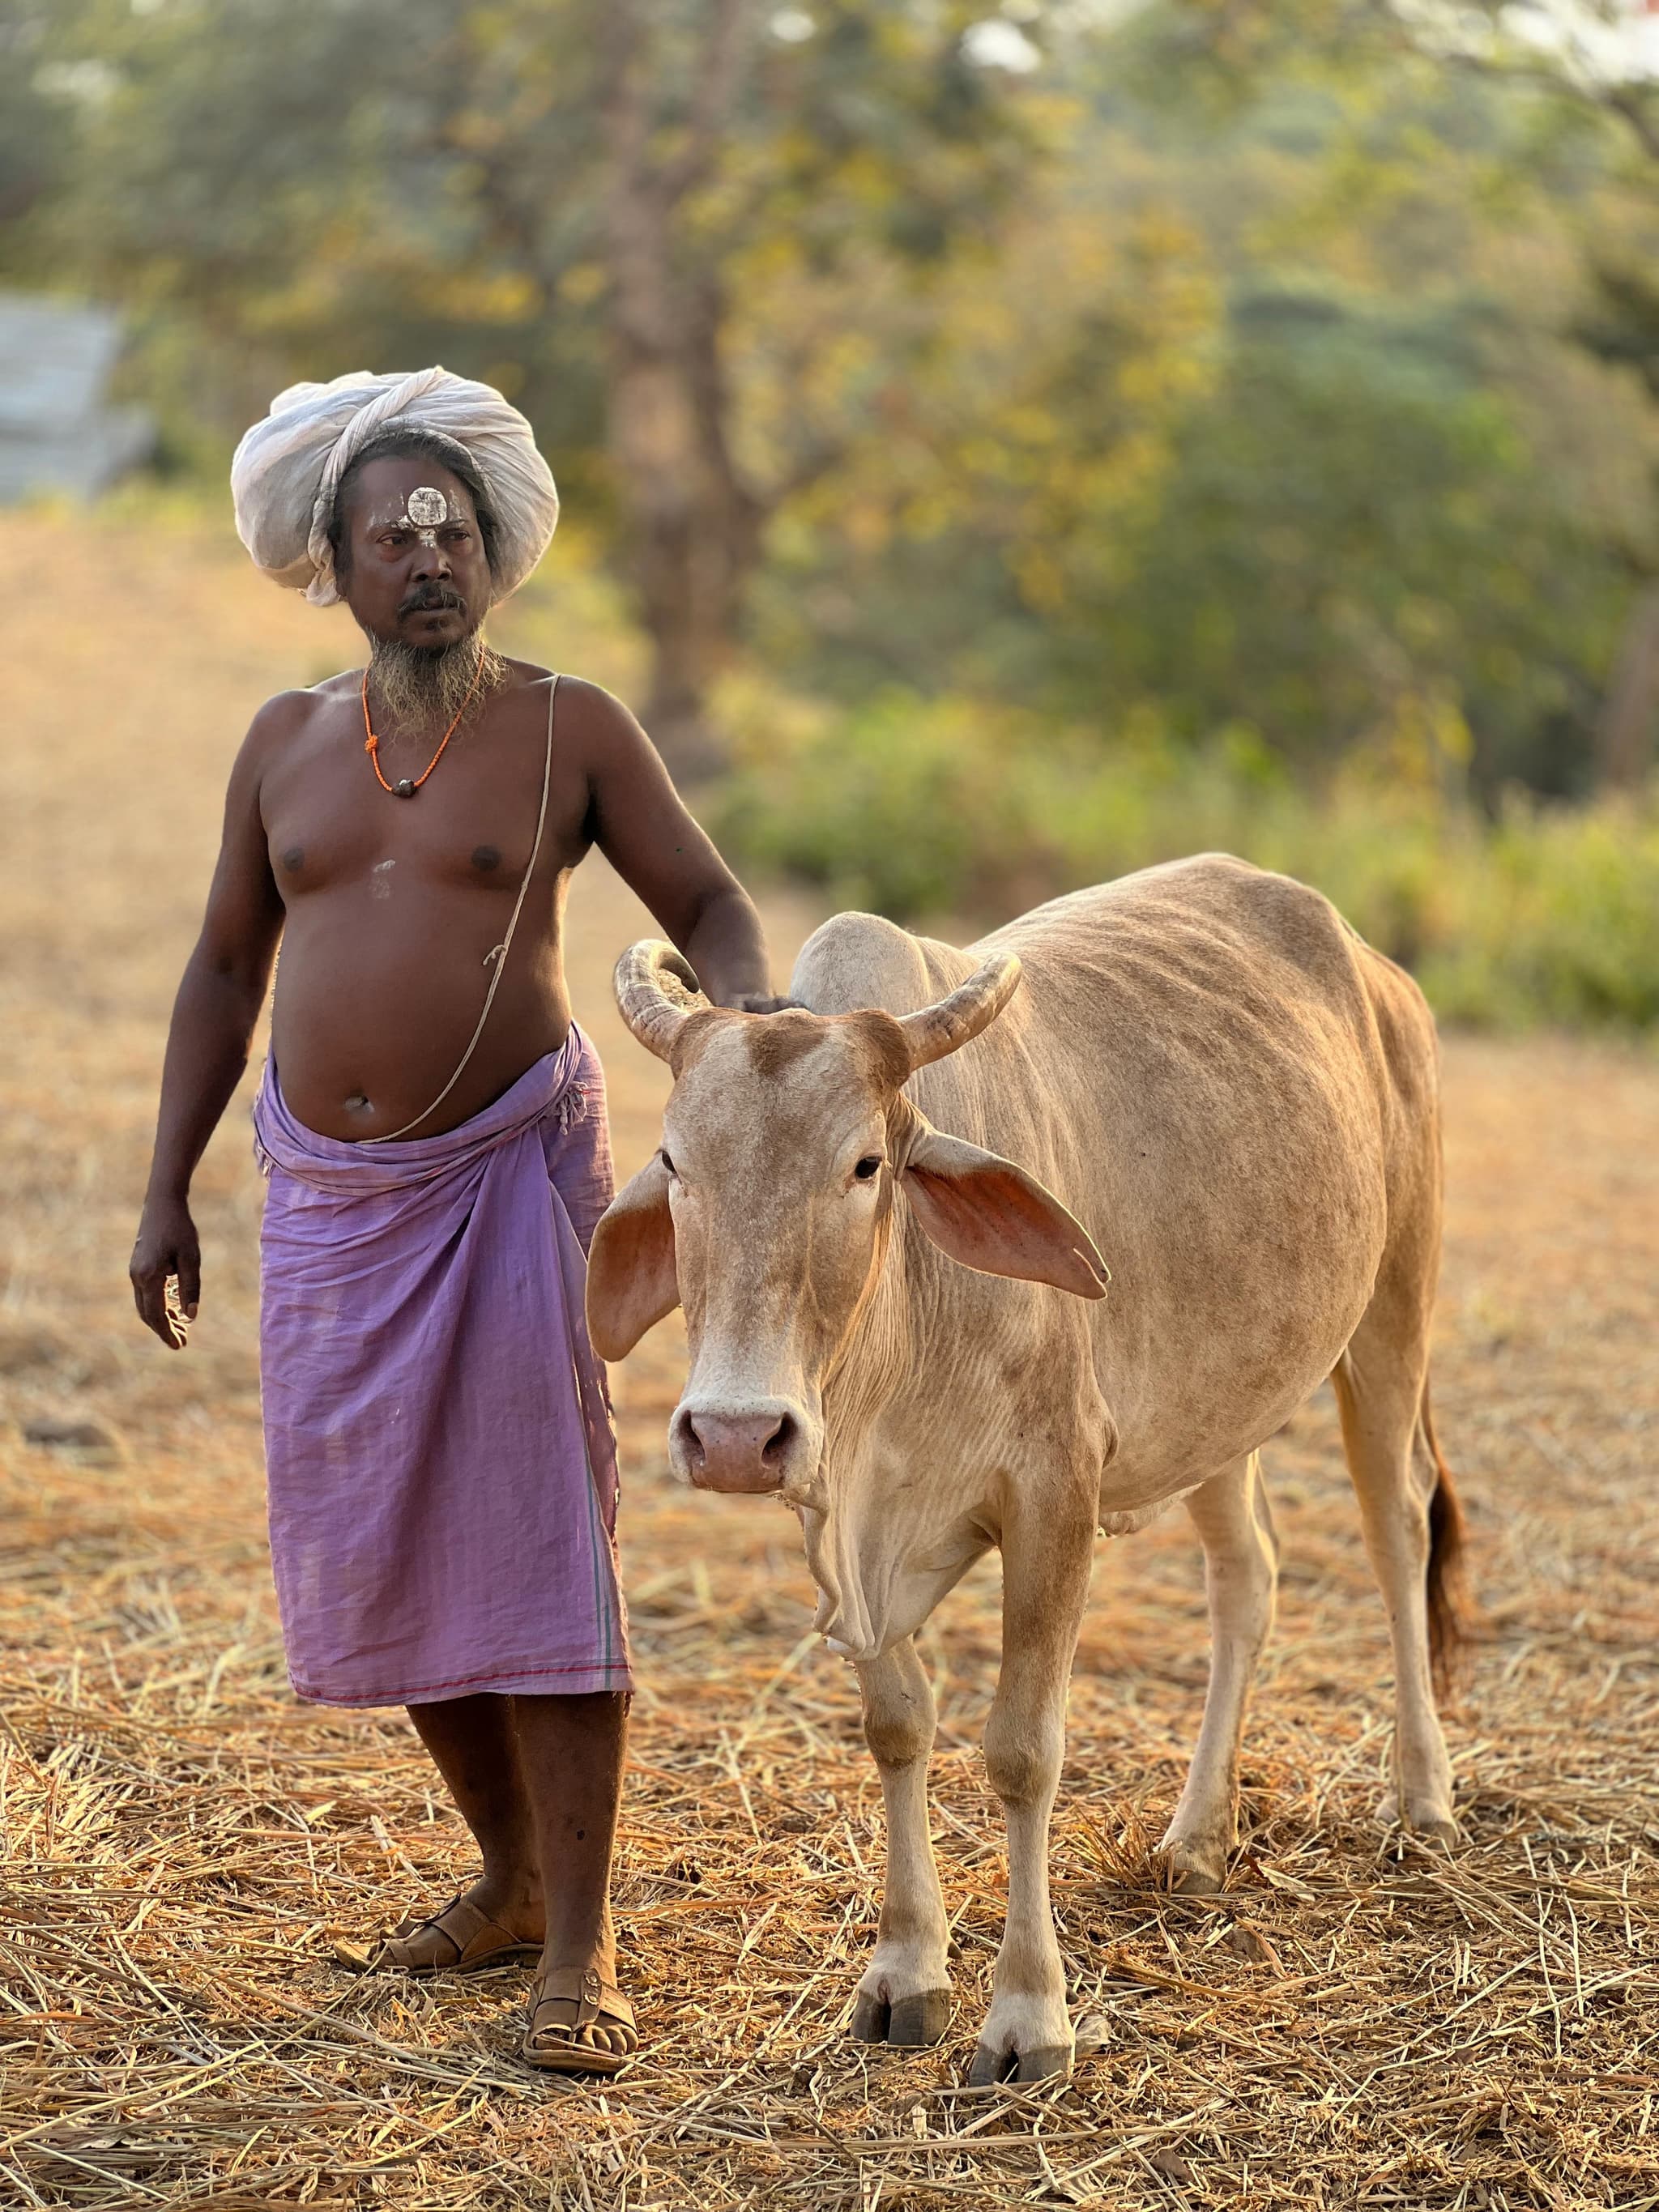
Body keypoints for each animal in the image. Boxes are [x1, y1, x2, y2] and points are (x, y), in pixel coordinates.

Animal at [585, 854, 1467, 2084]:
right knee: (1247, 1576)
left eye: (865, 1164)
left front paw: (1027, 2013)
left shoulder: (1057, 1497)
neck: (905, 1322)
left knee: (1398, 1536)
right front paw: (906, 1974)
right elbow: (899, 1726)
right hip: (1219, 1401)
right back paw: (1197, 1837)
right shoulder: (851, 1526)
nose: (732, 1434)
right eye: (675, 1163)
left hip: (1393, 1310)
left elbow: (1021, 1750)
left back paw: (1421, 1799)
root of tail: (1375, 970)